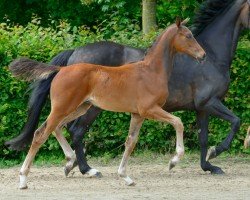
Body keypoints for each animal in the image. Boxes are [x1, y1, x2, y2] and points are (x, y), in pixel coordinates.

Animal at [9, 19, 205, 189]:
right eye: (188, 35)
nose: (202, 55)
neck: (151, 71)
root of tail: (61, 69)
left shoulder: (137, 114)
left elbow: (130, 142)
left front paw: (126, 177)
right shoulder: (149, 110)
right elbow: (178, 122)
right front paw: (174, 161)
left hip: (80, 107)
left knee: (58, 128)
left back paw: (70, 162)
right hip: (63, 108)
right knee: (41, 134)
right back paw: (24, 179)